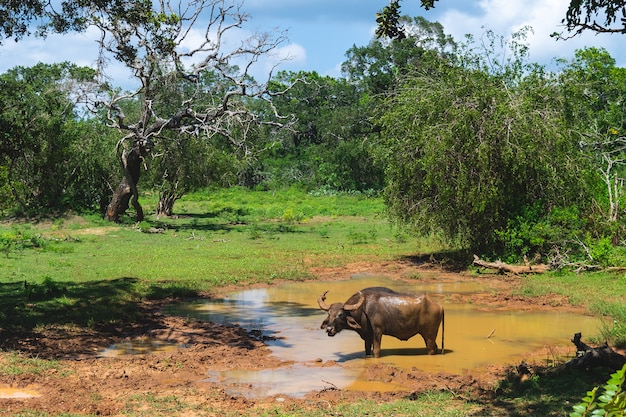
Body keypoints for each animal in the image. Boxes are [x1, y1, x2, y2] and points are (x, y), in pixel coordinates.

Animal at [316, 286, 444, 358]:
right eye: (329, 314)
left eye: (341, 314)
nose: (329, 329)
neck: (363, 310)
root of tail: (439, 305)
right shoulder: (367, 336)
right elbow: (367, 350)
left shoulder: (377, 332)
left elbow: (376, 351)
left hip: (429, 335)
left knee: (431, 349)